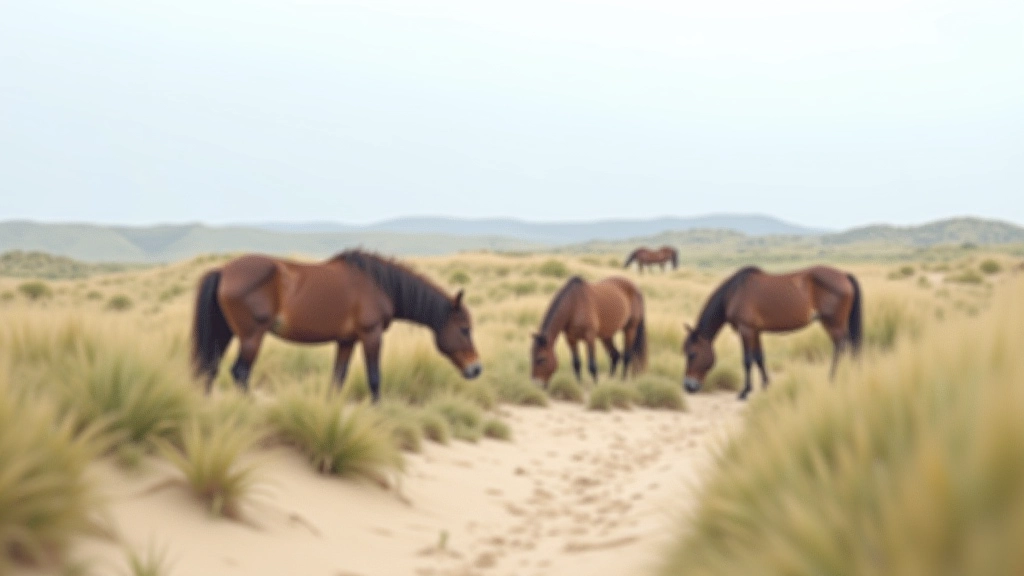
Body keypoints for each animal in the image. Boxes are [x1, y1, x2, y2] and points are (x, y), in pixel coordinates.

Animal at [191, 250, 482, 402]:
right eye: (464, 329)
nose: (476, 369)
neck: (379, 285)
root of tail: (223, 271)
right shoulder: (371, 336)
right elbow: (374, 379)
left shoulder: (346, 341)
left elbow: (337, 380)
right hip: (252, 337)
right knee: (240, 372)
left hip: (226, 332)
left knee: (210, 368)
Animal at [681, 265, 862, 400]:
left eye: (692, 354)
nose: (688, 386)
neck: (734, 292)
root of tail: (844, 275)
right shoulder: (756, 332)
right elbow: (759, 358)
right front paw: (766, 385)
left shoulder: (746, 330)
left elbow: (747, 360)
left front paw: (745, 392)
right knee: (849, 347)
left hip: (833, 324)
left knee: (841, 347)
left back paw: (833, 379)